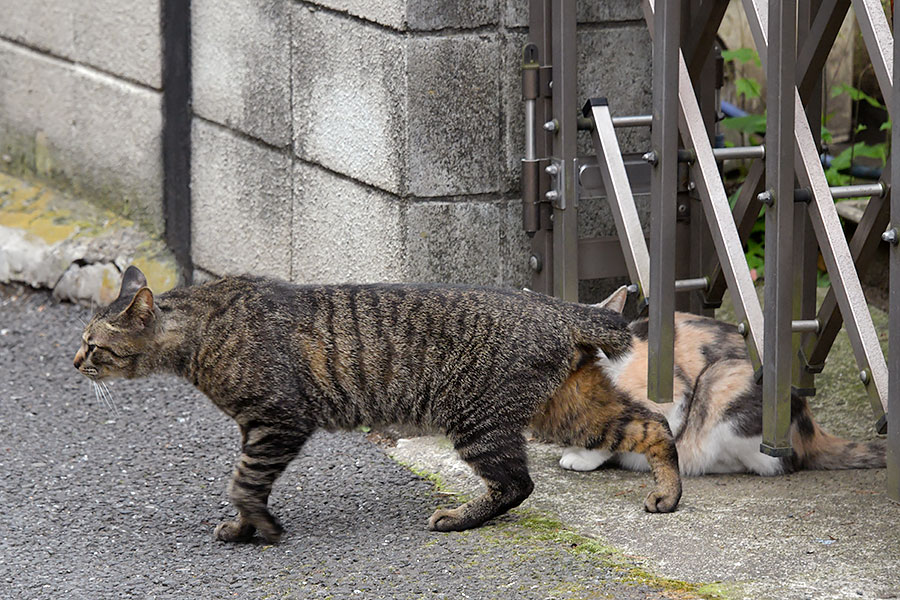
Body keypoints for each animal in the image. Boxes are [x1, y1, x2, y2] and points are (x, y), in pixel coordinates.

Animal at [75, 268, 684, 544]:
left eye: (94, 344)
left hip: (479, 422)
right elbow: (248, 480)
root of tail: (559, 308)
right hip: (572, 408)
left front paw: (257, 527)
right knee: (652, 424)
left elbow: (244, 480)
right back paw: (667, 495)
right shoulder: (264, 428)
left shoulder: (276, 421)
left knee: (516, 484)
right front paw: (249, 525)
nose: (73, 360)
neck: (199, 331)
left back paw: (459, 518)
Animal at [556, 288, 884, 478]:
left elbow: (616, 435)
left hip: (722, 386)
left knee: (772, 464)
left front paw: (584, 457)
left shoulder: (671, 398)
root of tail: (812, 428)